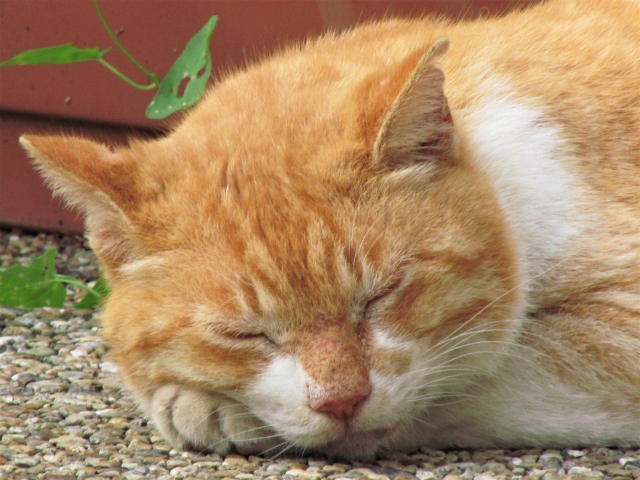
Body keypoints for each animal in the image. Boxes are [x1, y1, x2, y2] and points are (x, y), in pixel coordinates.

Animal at [20, 0, 640, 460]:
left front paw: (206, 408)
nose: (341, 401)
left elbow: (470, 380)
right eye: (245, 334)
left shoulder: (613, 328)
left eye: (380, 296)